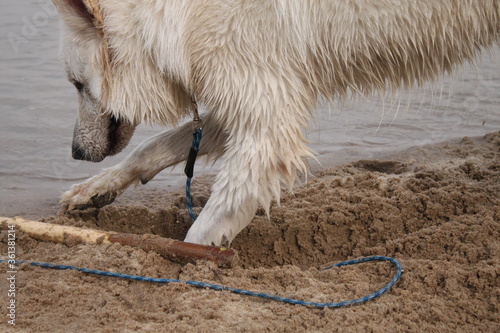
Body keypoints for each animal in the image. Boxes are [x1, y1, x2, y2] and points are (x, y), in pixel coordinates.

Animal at [52, 0, 498, 244]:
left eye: (77, 85)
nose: (74, 152)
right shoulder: (250, 96)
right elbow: (153, 147)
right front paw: (96, 188)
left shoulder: (267, 119)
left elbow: (208, 224)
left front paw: (194, 258)